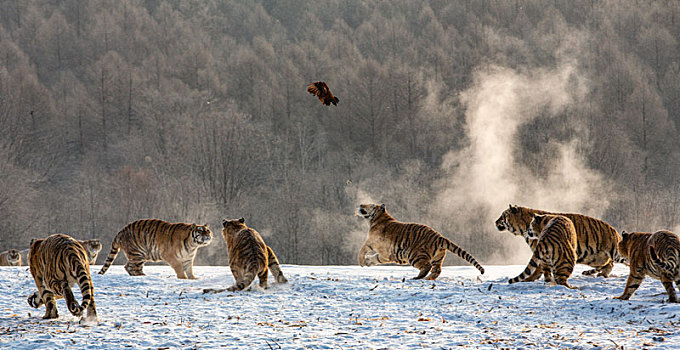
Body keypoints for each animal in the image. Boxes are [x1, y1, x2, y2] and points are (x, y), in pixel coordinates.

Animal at [356, 202, 484, 278]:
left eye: (370, 205)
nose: (360, 204)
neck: (375, 219)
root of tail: (439, 236)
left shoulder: (372, 241)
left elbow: (362, 250)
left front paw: (362, 262)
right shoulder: (387, 254)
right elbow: (377, 257)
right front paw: (368, 262)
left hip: (414, 255)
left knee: (427, 266)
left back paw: (417, 278)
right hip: (437, 258)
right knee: (437, 270)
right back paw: (428, 279)